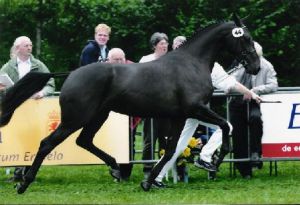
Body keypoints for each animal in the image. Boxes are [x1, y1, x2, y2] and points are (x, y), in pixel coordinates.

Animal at [0, 14, 258, 194]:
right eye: (245, 38)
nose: (255, 66)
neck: (192, 63)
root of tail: (72, 74)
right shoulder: (196, 109)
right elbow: (225, 126)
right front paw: (214, 162)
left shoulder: (180, 116)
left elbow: (171, 149)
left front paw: (148, 182)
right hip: (76, 118)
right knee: (47, 143)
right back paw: (23, 184)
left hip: (98, 116)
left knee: (84, 140)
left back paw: (115, 166)